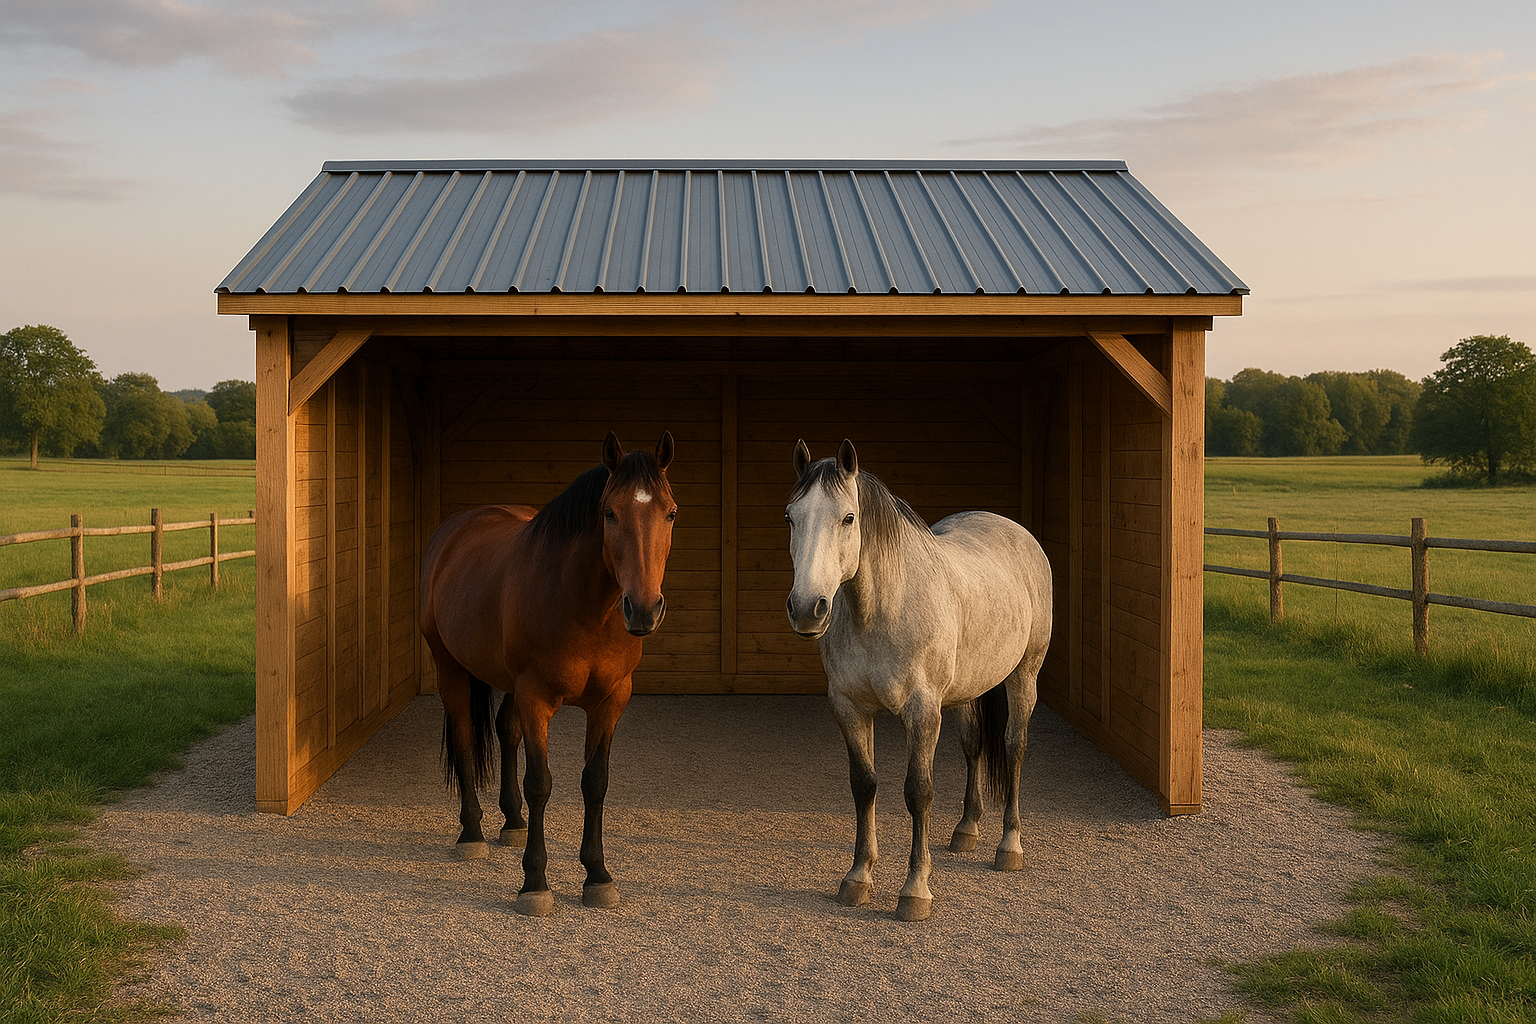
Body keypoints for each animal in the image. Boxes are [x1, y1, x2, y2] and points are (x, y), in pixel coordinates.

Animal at [419, 431, 677, 917]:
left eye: (670, 512)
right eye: (610, 513)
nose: (643, 609)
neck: (585, 608)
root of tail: (454, 530)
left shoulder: (611, 701)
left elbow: (595, 782)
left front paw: (598, 876)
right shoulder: (536, 697)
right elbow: (540, 783)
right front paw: (535, 883)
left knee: (505, 730)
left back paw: (513, 821)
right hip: (452, 669)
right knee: (464, 739)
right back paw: (472, 832)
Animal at [783, 439, 1053, 921]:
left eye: (848, 518)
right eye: (790, 517)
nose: (807, 608)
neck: (883, 608)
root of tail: (1013, 530)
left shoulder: (922, 712)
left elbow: (918, 792)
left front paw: (915, 890)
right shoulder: (849, 708)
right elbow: (864, 785)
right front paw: (858, 877)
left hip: (1025, 675)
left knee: (1013, 748)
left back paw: (1009, 847)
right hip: (968, 690)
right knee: (974, 747)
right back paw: (967, 830)